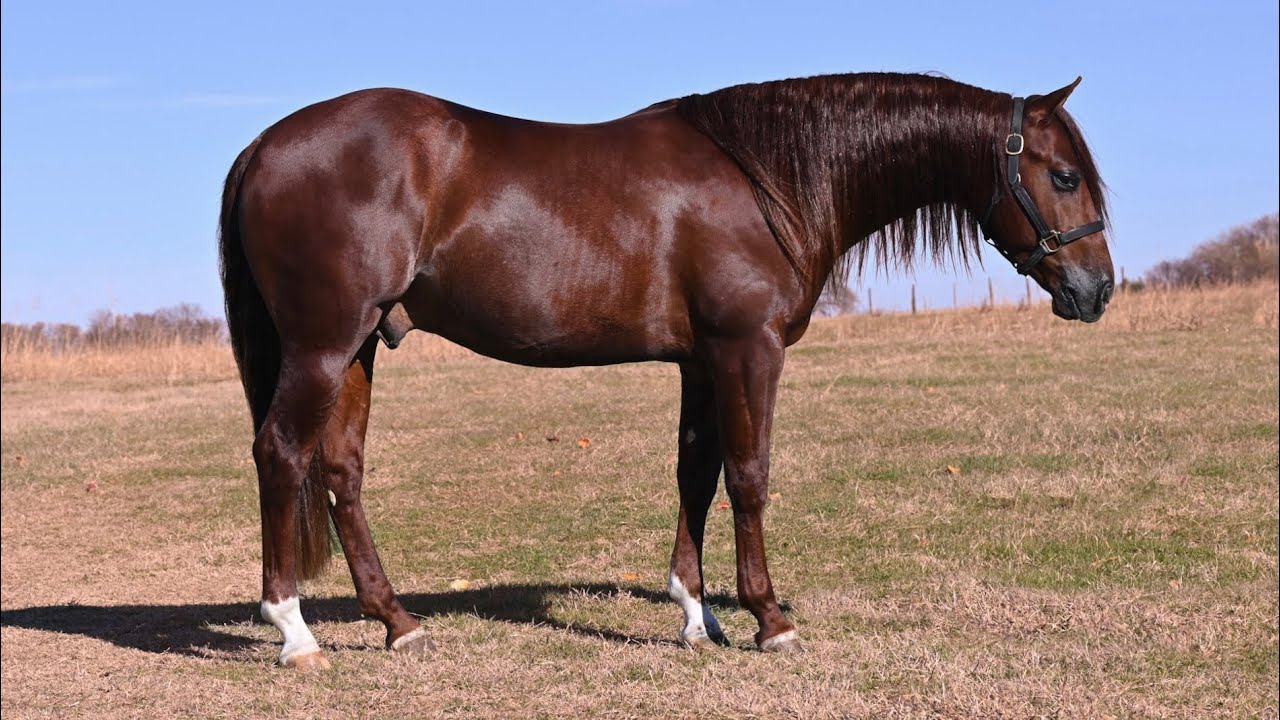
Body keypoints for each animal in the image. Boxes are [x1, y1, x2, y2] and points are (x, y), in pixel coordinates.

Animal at [218, 72, 1112, 669]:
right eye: (1064, 175)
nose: (1098, 289)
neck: (765, 182)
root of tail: (263, 146)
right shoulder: (748, 348)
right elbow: (748, 476)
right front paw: (769, 619)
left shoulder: (702, 360)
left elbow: (696, 474)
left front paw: (695, 615)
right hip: (324, 343)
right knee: (282, 454)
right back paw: (294, 631)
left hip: (362, 344)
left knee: (341, 468)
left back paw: (397, 622)